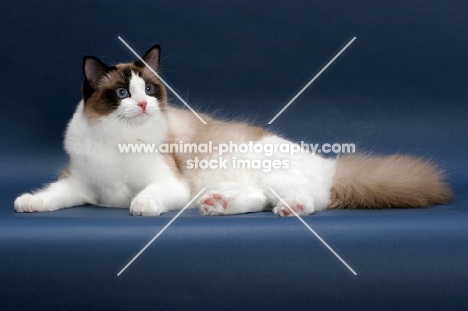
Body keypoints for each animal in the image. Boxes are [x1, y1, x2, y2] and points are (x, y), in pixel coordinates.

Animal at [15, 45, 454, 217]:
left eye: (150, 90)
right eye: (122, 93)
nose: (142, 105)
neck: (117, 142)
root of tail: (330, 164)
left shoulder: (168, 183)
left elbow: (148, 195)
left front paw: (141, 205)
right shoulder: (81, 185)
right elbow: (52, 195)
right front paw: (28, 203)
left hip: (274, 175)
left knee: (306, 200)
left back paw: (286, 209)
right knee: (258, 199)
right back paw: (217, 205)